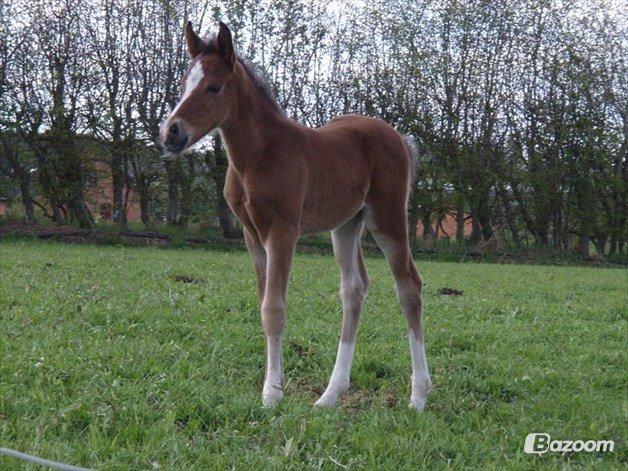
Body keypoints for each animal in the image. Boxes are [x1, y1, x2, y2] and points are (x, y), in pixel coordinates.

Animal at [161, 22, 432, 412]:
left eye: (214, 86)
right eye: (185, 83)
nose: (171, 132)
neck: (258, 156)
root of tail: (399, 137)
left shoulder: (283, 230)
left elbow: (274, 308)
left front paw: (272, 393)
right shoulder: (251, 234)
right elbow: (264, 304)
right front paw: (273, 385)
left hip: (388, 218)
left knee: (408, 287)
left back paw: (419, 395)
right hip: (345, 224)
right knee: (354, 289)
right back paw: (331, 394)